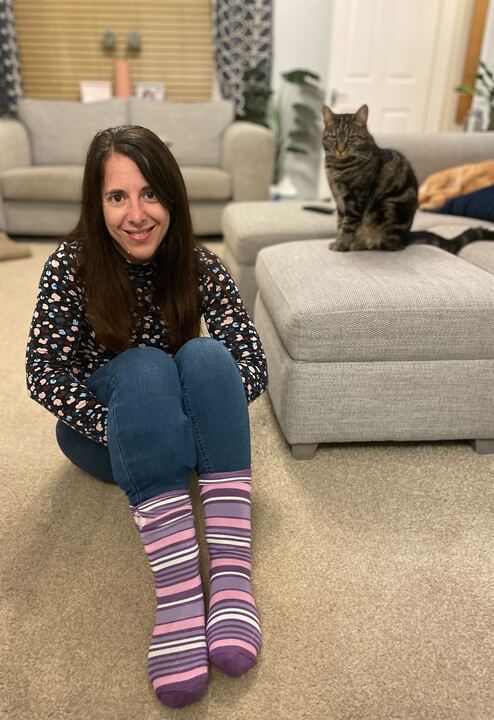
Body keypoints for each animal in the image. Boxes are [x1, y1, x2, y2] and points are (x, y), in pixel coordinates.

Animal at [322, 104, 494, 253]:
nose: (340, 149)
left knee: (385, 245)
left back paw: (359, 244)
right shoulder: (340, 201)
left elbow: (347, 226)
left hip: (388, 210)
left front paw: (341, 244)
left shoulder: (355, 201)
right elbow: (339, 223)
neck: (337, 167)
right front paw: (338, 241)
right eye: (333, 138)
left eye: (351, 138)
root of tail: (405, 237)